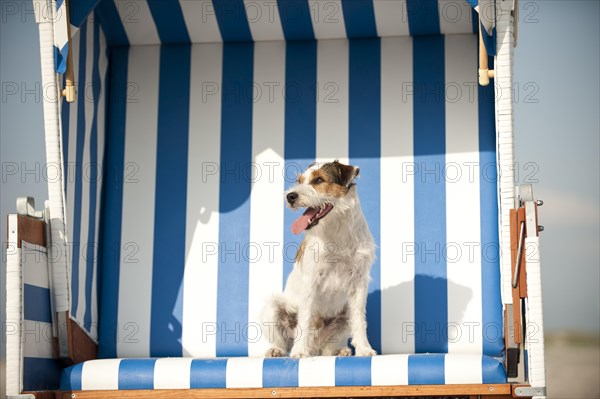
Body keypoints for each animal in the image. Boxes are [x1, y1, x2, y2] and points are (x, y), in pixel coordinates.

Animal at [262, 161, 376, 358]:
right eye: (300, 181)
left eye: (319, 180)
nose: (290, 196)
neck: (336, 230)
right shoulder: (311, 282)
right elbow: (305, 320)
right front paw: (300, 351)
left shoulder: (359, 283)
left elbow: (359, 320)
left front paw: (364, 348)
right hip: (273, 307)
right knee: (282, 340)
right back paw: (277, 349)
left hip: (343, 317)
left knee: (328, 347)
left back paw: (339, 350)